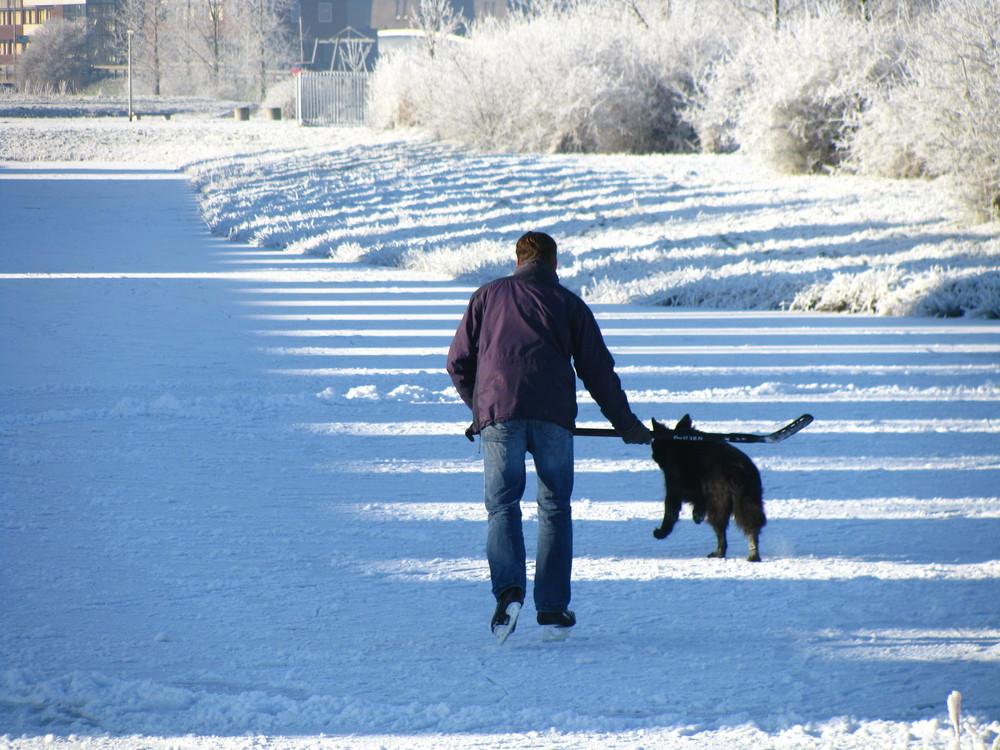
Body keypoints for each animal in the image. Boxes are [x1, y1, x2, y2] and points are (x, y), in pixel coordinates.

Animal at [648, 418, 764, 564]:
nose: (652, 455)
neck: (676, 443)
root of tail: (739, 470)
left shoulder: (674, 489)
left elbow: (670, 514)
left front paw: (661, 532)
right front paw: (697, 515)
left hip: (719, 504)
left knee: (721, 532)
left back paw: (719, 553)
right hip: (748, 501)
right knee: (752, 525)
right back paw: (753, 553)